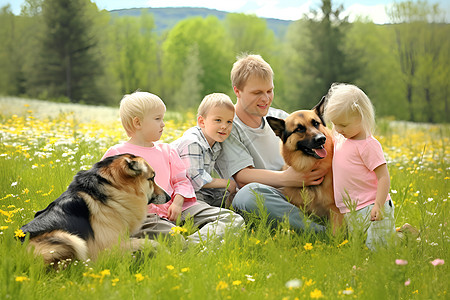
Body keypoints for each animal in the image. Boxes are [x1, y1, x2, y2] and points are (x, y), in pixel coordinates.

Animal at [18, 154, 171, 266]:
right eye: (152, 178)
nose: (169, 197)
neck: (113, 187)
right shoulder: (111, 245)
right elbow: (151, 242)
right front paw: (165, 251)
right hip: (69, 238)